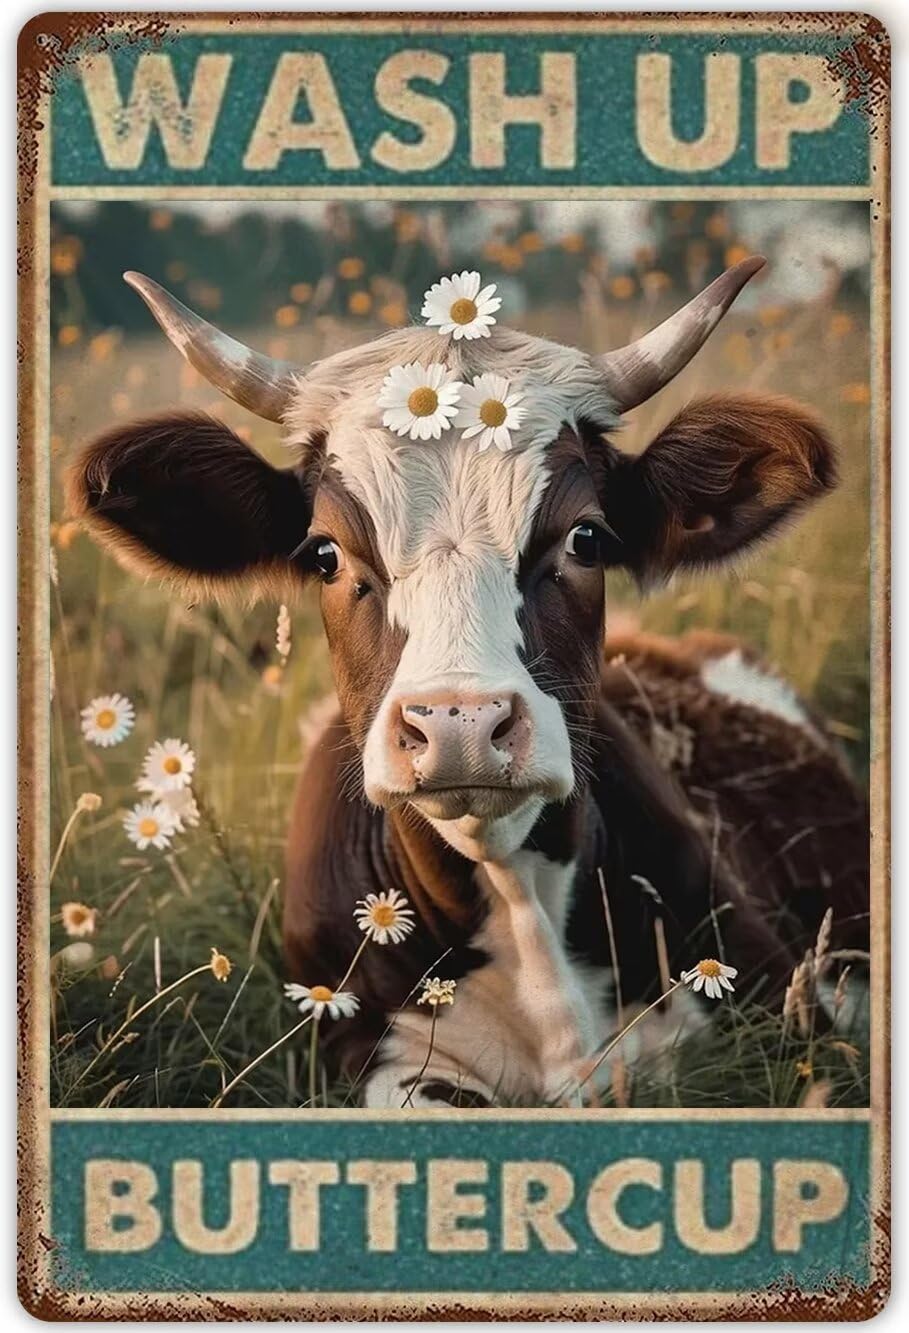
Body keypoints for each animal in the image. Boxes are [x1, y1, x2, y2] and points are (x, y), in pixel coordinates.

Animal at [68, 256, 869, 1107]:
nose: (460, 726)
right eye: (325, 554)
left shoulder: (791, 1007)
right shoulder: (369, 1053)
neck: (516, 898)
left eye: (586, 538)